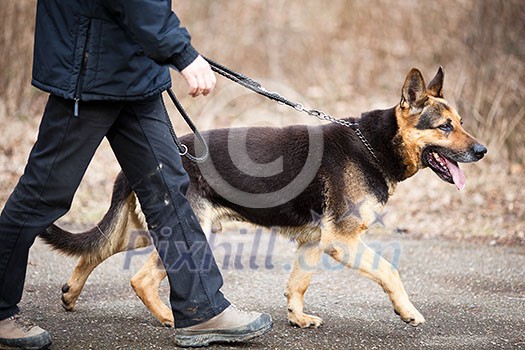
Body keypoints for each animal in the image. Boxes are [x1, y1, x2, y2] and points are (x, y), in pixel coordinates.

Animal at [41, 67, 488, 330]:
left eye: (461, 123)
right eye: (445, 127)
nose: (482, 151)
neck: (374, 146)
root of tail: (147, 166)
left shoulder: (315, 242)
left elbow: (298, 283)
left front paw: (298, 317)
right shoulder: (342, 242)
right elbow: (390, 272)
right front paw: (407, 311)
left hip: (140, 231)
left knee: (94, 252)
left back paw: (71, 295)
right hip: (190, 231)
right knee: (140, 278)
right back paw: (172, 318)